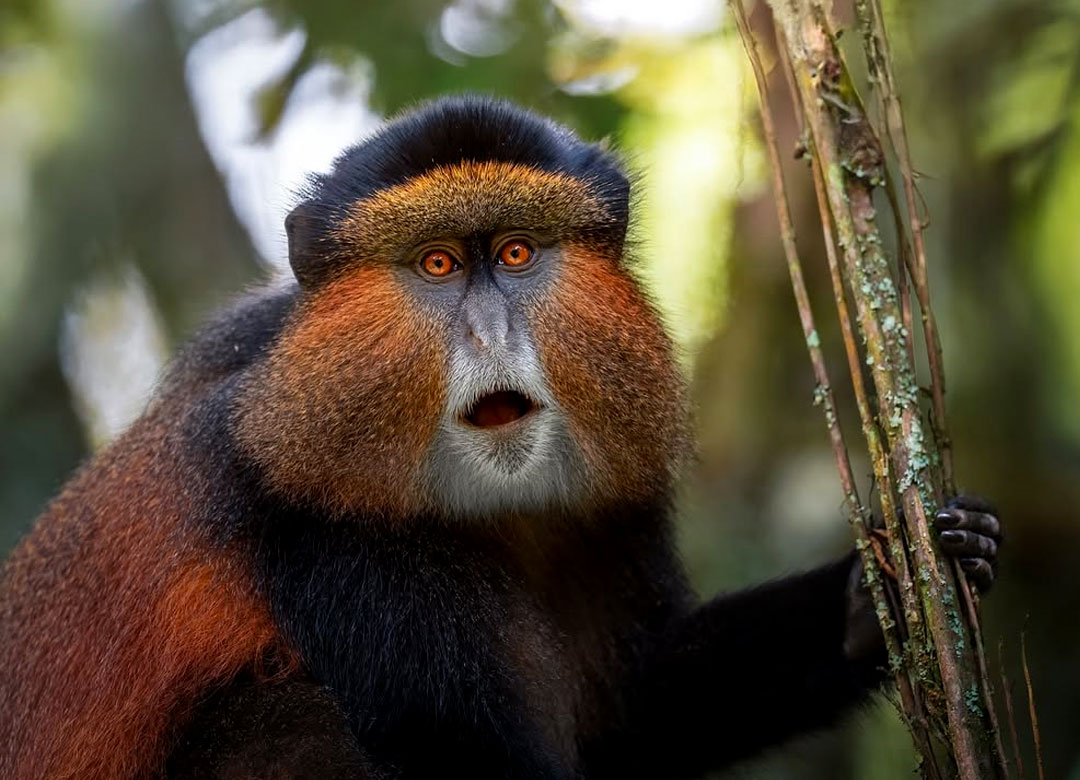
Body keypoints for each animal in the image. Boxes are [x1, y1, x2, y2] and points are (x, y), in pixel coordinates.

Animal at [0, 96, 1002, 779]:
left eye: (516, 253)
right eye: (439, 264)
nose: (488, 335)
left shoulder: (614, 498)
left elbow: (639, 707)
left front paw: (884, 590)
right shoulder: (316, 521)